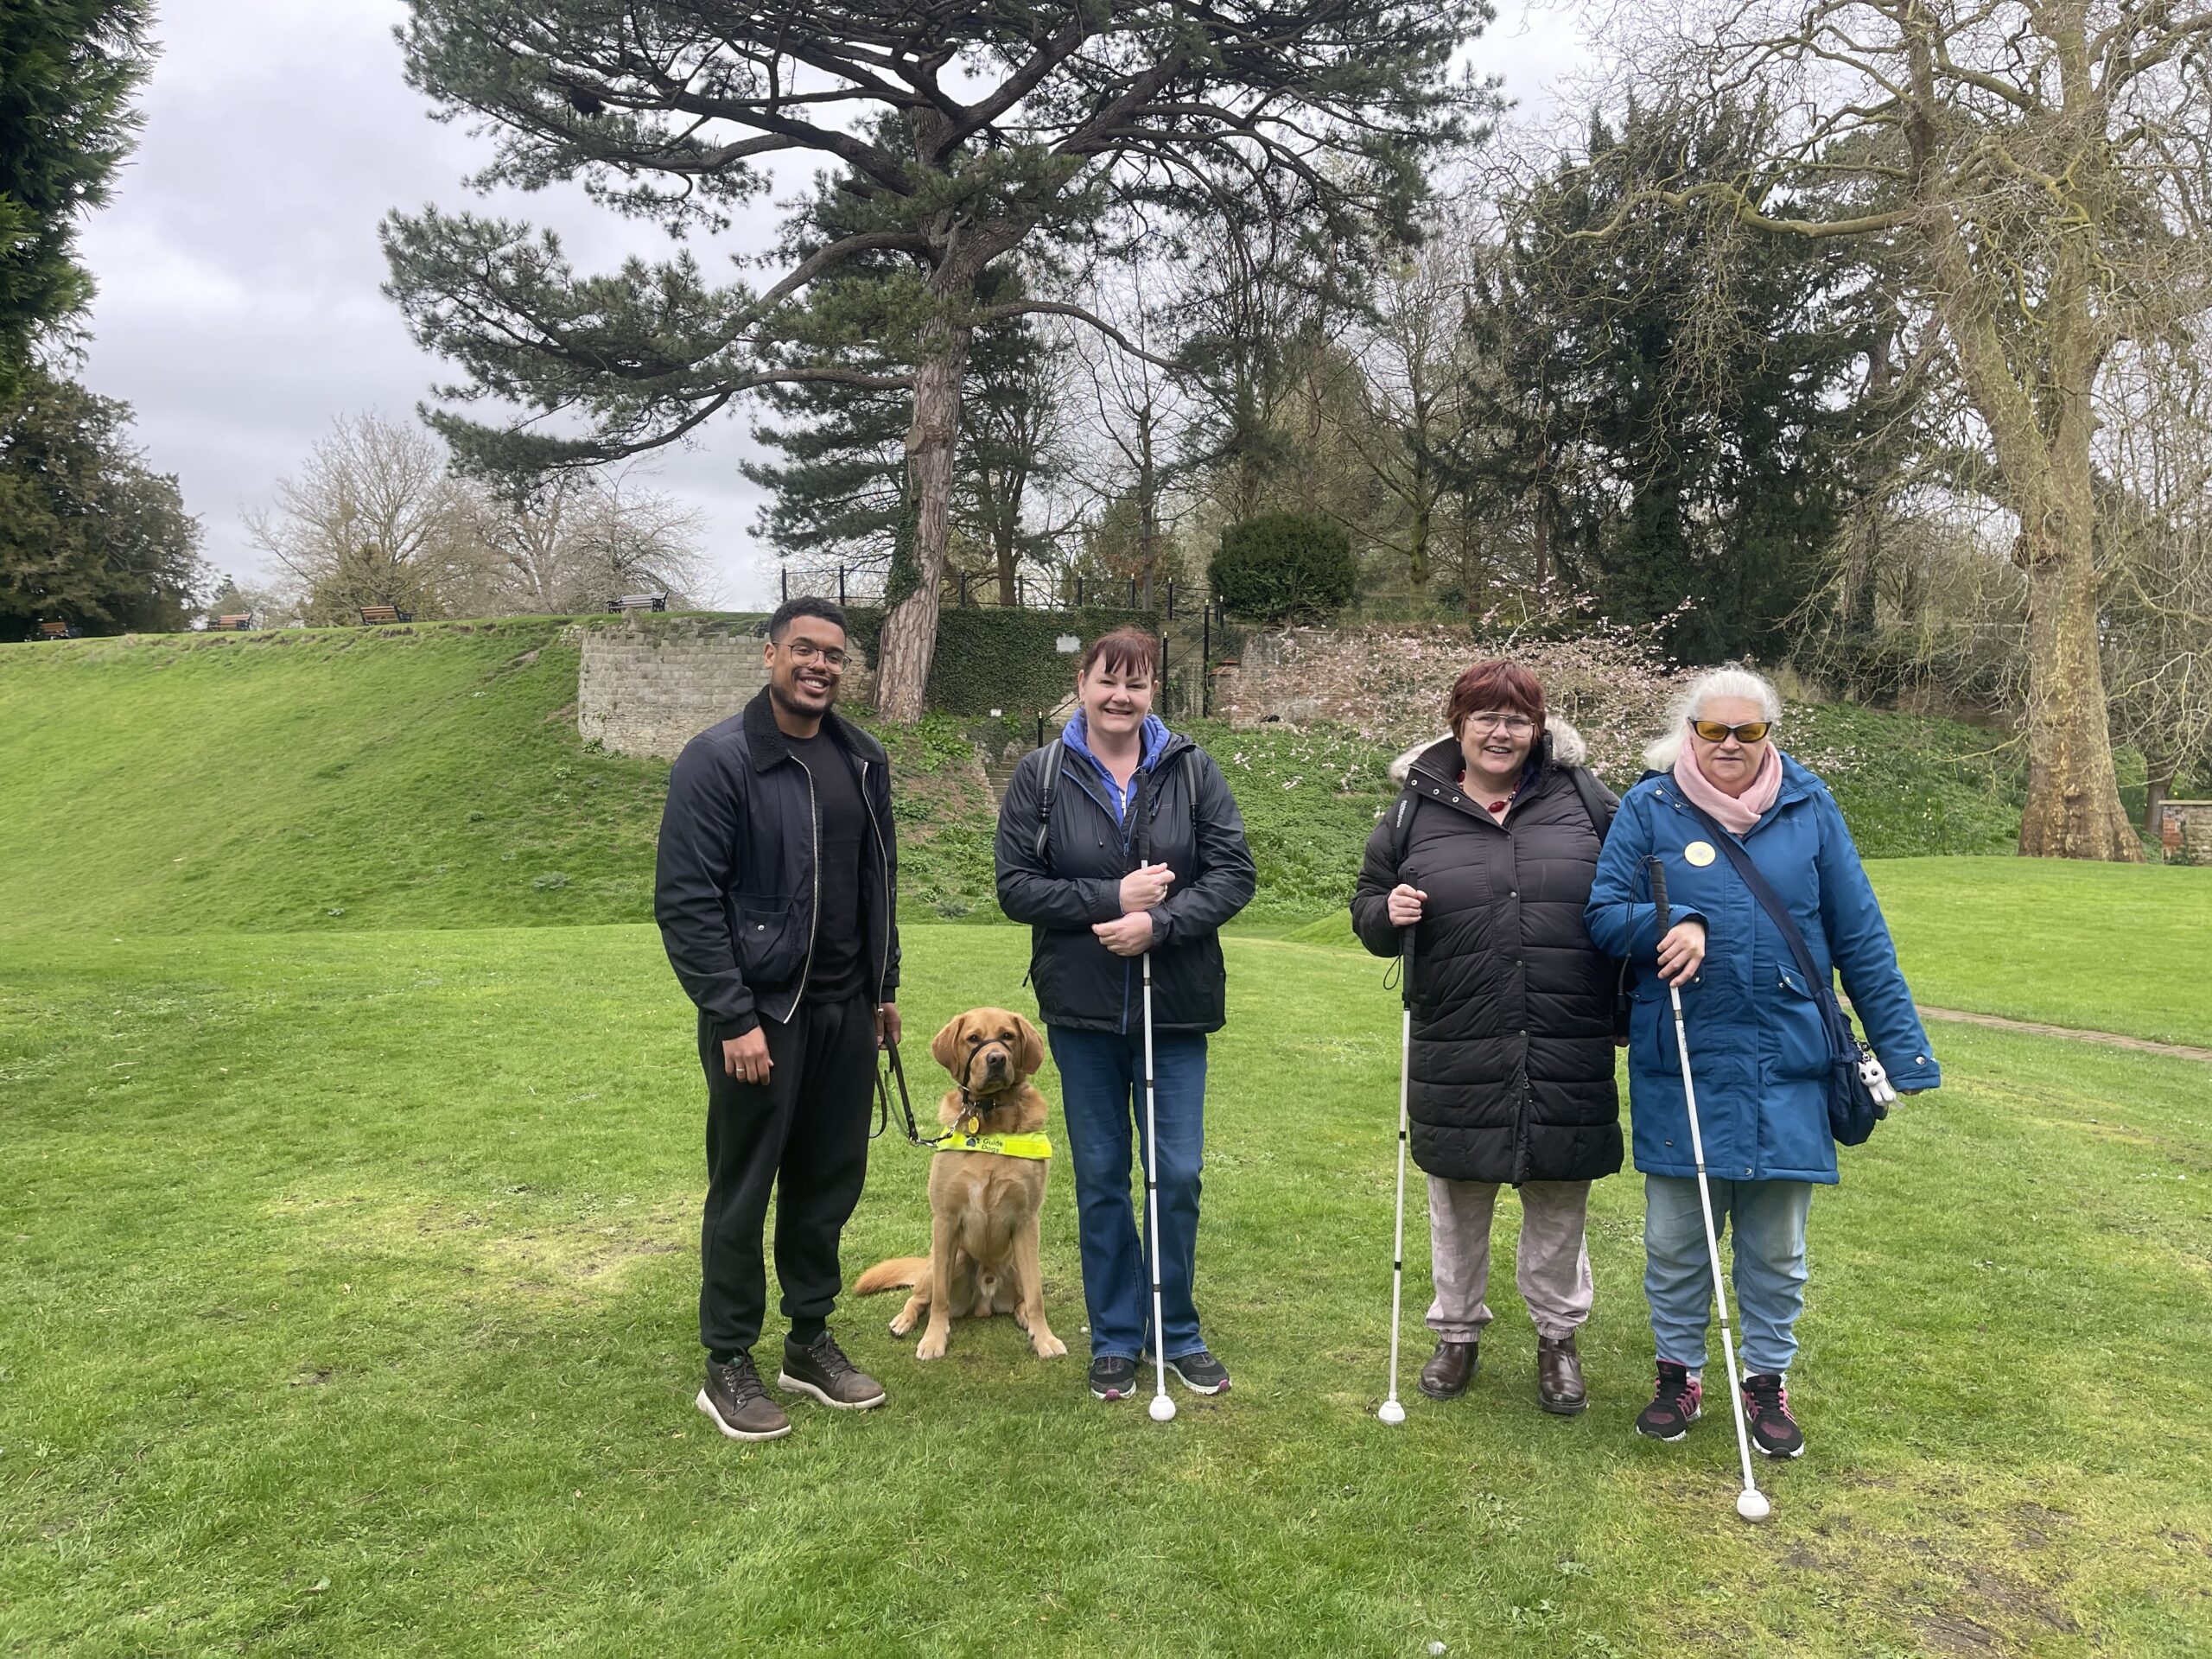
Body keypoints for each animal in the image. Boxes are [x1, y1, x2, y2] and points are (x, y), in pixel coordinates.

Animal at [849, 1013, 1065, 1362]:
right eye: (973, 1038)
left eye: (1008, 1036)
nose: (996, 1059)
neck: (989, 1118)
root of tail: (983, 1305)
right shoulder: (946, 1220)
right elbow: (939, 1299)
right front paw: (934, 1338)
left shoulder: (1027, 1221)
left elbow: (1036, 1297)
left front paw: (1044, 1338)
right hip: (950, 1257)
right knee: (920, 1297)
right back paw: (904, 1321)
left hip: (1017, 1261)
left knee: (1023, 1298)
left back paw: (1023, 1318)